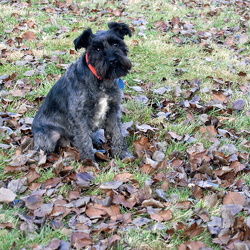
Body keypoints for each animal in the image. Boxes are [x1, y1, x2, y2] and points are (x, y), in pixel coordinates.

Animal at [32, 23, 134, 160]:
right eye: (97, 49)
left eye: (115, 44)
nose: (112, 60)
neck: (100, 79)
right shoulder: (80, 115)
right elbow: (84, 139)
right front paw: (89, 161)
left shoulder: (113, 109)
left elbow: (117, 133)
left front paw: (122, 154)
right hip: (50, 137)